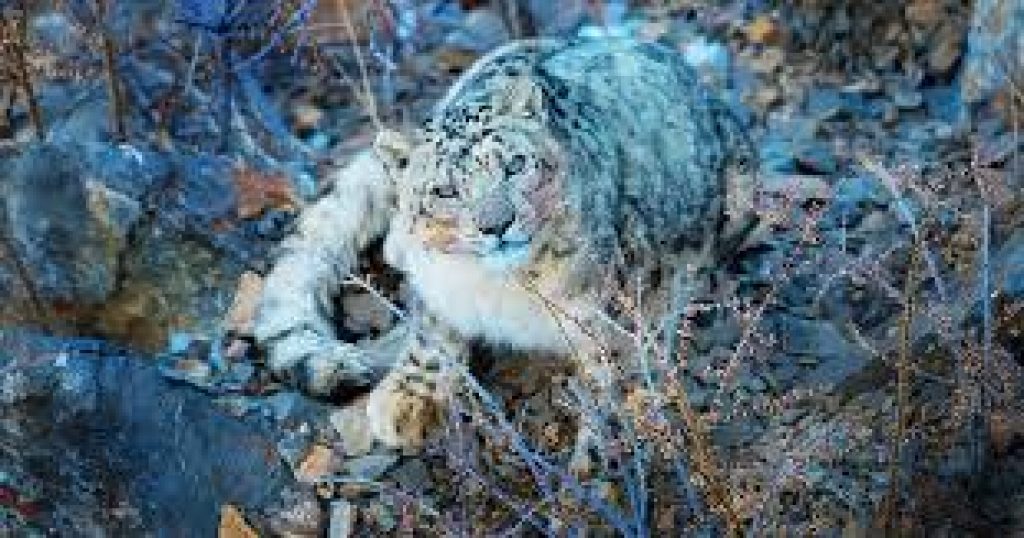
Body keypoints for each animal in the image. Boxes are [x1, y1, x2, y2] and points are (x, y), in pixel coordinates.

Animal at [253, 37, 759, 452]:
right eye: (445, 191)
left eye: (514, 165)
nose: (496, 223)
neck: (497, 287)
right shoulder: (437, 288)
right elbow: (431, 333)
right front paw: (408, 399)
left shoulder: (622, 312)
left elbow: (620, 377)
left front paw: (601, 463)